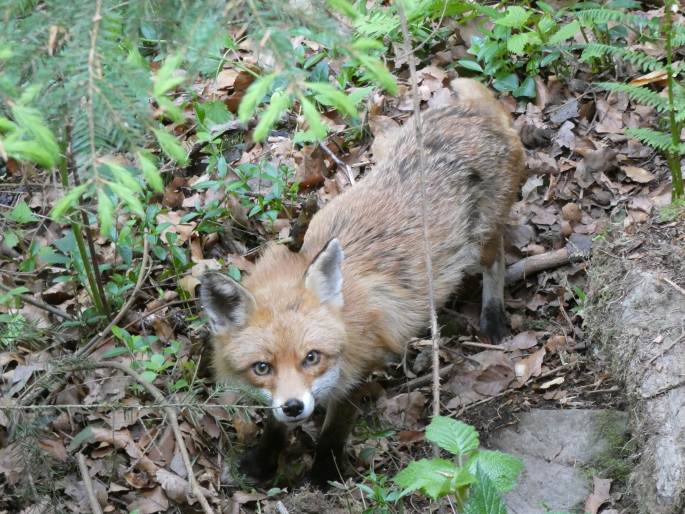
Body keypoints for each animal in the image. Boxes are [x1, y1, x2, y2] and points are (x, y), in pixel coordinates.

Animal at [199, 77, 524, 484]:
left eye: (311, 357)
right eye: (262, 368)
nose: (294, 407)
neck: (346, 317)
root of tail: (474, 111)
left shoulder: (357, 371)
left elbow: (332, 433)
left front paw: (324, 474)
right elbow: (274, 426)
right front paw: (263, 460)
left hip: (481, 242)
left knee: (497, 262)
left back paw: (492, 316)